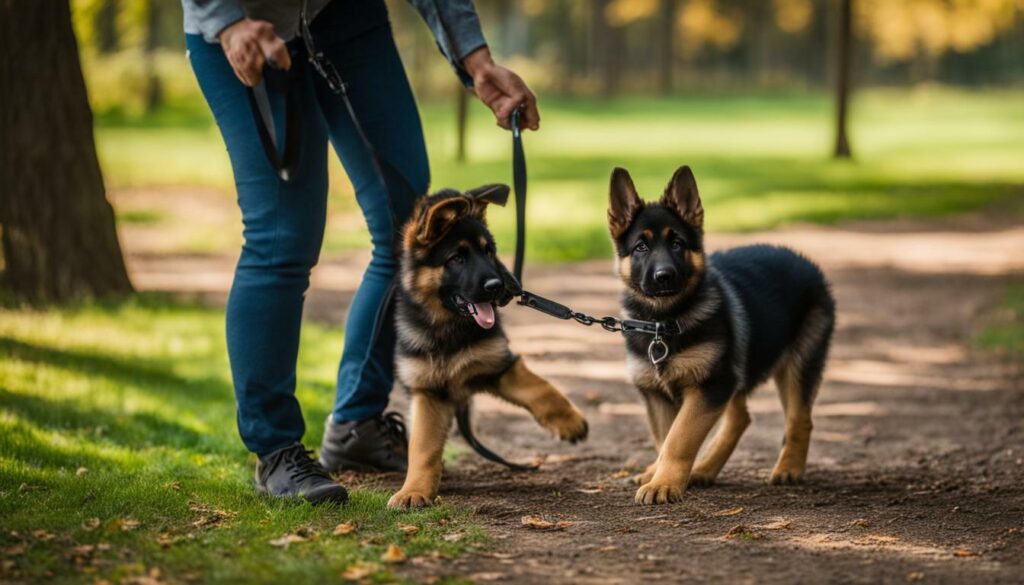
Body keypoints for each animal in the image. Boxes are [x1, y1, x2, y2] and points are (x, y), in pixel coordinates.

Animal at [606, 166, 831, 506]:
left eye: (677, 244)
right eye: (640, 247)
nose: (664, 276)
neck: (663, 322)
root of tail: (802, 260)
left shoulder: (710, 386)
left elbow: (679, 438)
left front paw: (664, 483)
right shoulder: (658, 394)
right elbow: (664, 438)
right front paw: (660, 474)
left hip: (797, 363)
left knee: (799, 419)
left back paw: (788, 468)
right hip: (737, 366)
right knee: (741, 418)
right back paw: (704, 470)